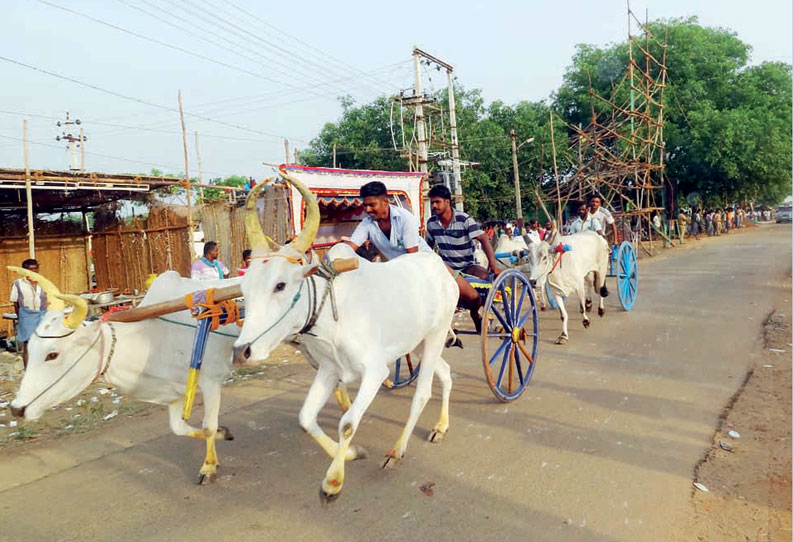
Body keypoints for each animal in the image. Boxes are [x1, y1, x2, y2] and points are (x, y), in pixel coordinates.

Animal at [234, 167, 458, 506]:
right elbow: (305, 419)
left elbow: (348, 423)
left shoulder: (375, 372)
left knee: (422, 393)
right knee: (444, 373)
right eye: (244, 289)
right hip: (418, 343)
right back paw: (441, 426)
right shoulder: (329, 369)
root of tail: (441, 269)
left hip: (436, 334)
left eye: (280, 285)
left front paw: (333, 482)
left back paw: (396, 451)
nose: (242, 351)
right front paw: (352, 454)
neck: (329, 311)